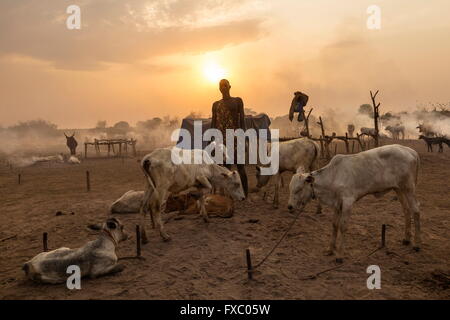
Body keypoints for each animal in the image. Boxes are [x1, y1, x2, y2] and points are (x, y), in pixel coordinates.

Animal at [288, 144, 422, 262]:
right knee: (406, 210)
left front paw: (339, 255)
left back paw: (417, 244)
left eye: (298, 189)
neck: (333, 175)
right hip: (398, 188)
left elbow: (343, 226)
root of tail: (411, 151)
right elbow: (334, 225)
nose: (289, 206)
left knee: (415, 210)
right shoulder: (337, 204)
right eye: (290, 188)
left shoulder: (348, 201)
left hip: (409, 187)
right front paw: (330, 249)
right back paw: (406, 239)